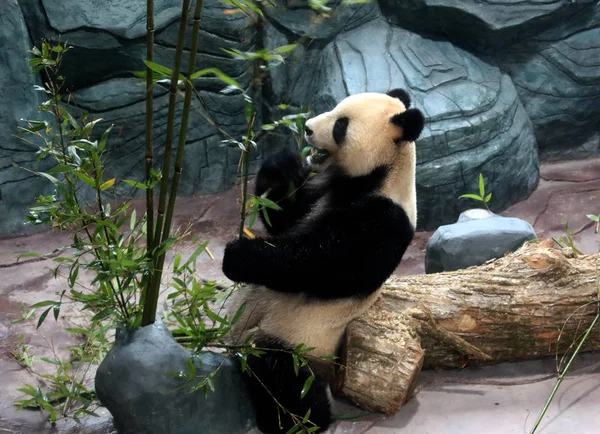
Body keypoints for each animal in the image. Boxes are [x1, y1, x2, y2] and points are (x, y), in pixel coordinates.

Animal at [223, 89, 424, 434]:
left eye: (341, 125)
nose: (306, 128)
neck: (382, 172)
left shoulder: (383, 221)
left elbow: (319, 266)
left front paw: (238, 256)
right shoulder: (322, 192)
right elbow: (285, 216)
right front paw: (283, 161)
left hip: (297, 339)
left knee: (281, 378)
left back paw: (298, 420)